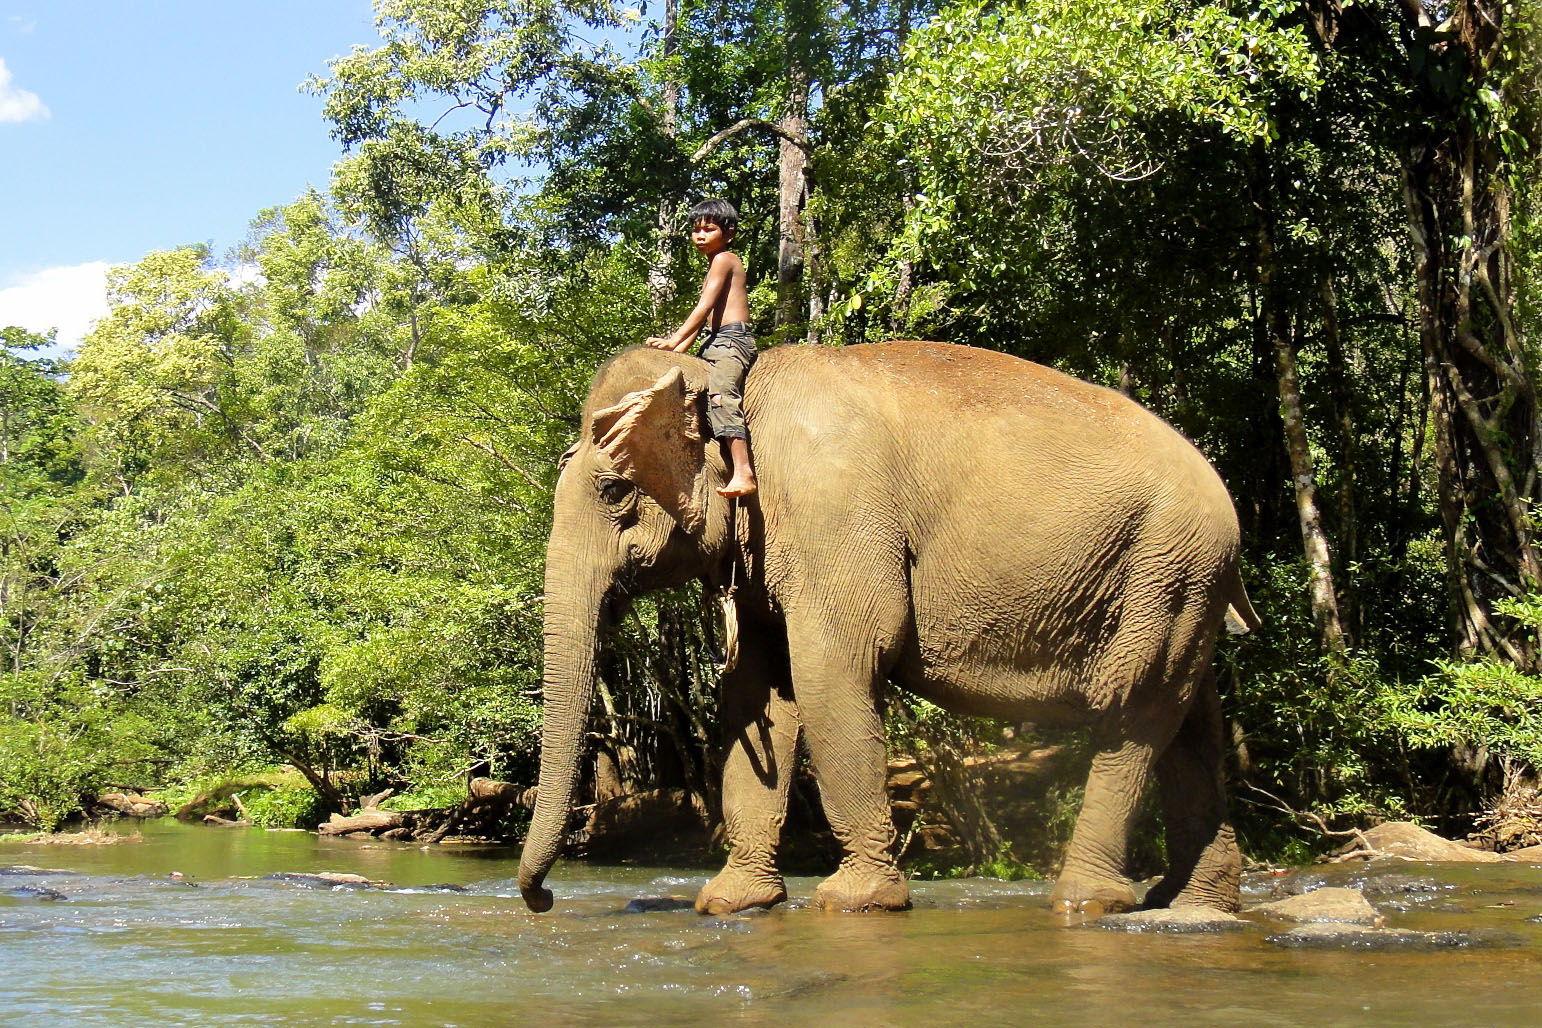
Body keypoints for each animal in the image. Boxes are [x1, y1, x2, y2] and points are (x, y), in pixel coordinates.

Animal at [511, 337, 1258, 918]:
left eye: (613, 491)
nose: (543, 899)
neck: (727, 390)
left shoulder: (833, 513)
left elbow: (832, 670)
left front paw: (856, 902)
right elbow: (759, 692)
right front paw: (731, 904)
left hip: (1166, 565)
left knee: (1132, 712)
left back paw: (1088, 902)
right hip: (1180, 582)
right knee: (1190, 718)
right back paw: (1194, 904)